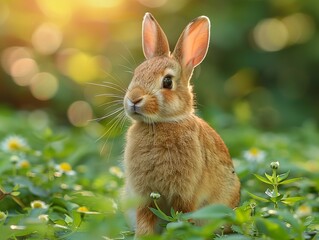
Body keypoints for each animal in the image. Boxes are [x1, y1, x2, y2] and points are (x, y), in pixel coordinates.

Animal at [124, 12, 241, 236]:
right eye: (136, 74)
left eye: (167, 82)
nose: (134, 99)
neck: (161, 123)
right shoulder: (143, 196)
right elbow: (144, 220)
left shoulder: (185, 193)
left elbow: (180, 217)